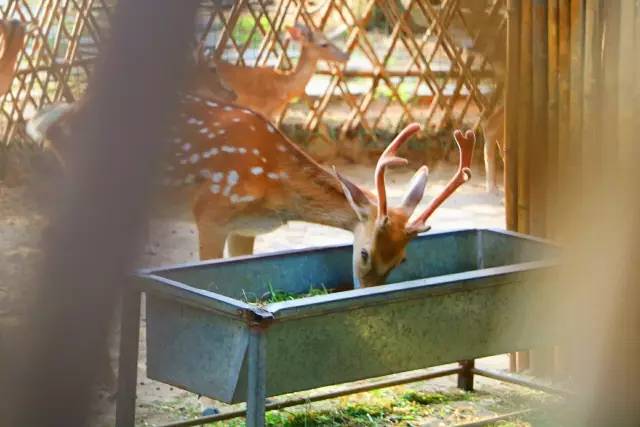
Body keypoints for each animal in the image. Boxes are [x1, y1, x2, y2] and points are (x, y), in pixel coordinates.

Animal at [27, 93, 472, 288]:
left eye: (402, 259)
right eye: (364, 253)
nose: (366, 292)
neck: (273, 184)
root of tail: (49, 120)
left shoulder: (247, 227)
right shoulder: (209, 211)